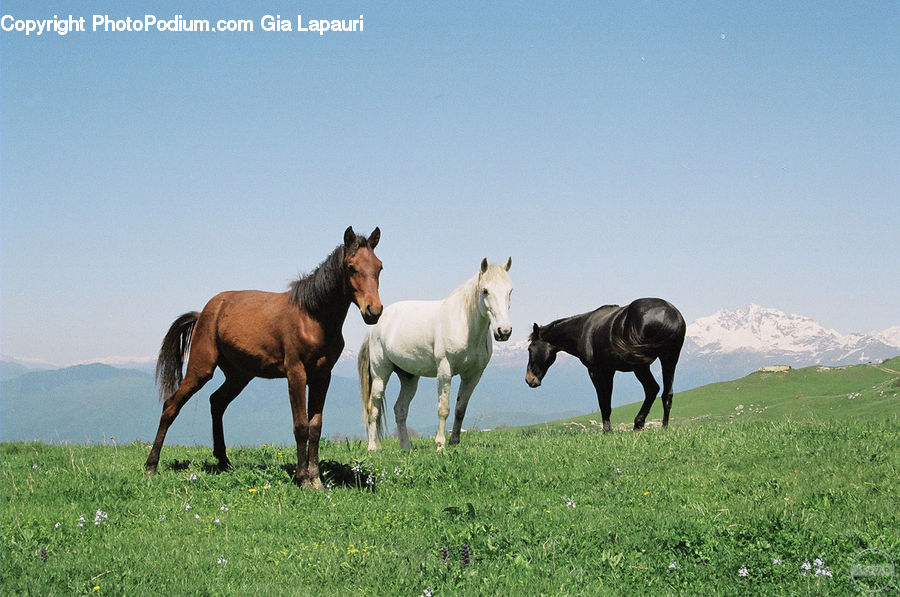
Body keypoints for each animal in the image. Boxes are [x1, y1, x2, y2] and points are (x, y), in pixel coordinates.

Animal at [144, 226, 383, 489]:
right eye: (351, 267)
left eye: (379, 267)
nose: (374, 310)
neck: (312, 317)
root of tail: (204, 313)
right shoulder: (296, 373)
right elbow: (301, 426)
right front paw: (302, 478)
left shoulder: (322, 376)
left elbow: (315, 427)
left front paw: (316, 478)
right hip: (200, 369)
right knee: (171, 406)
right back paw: (151, 466)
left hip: (239, 376)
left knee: (217, 402)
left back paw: (223, 461)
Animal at [359, 257, 513, 451]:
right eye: (485, 291)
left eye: (510, 290)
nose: (504, 331)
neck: (463, 323)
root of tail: (375, 326)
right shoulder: (445, 371)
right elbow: (443, 408)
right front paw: (440, 445)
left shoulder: (473, 375)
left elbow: (460, 408)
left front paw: (454, 441)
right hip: (380, 374)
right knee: (373, 408)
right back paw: (373, 447)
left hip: (409, 378)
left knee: (400, 409)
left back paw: (406, 447)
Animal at [525, 298, 685, 432]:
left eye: (530, 349)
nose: (529, 379)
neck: (584, 329)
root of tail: (668, 314)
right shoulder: (610, 371)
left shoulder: (596, 371)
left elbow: (604, 403)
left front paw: (607, 431)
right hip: (669, 359)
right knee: (666, 394)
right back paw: (663, 427)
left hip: (641, 366)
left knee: (652, 388)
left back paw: (638, 424)